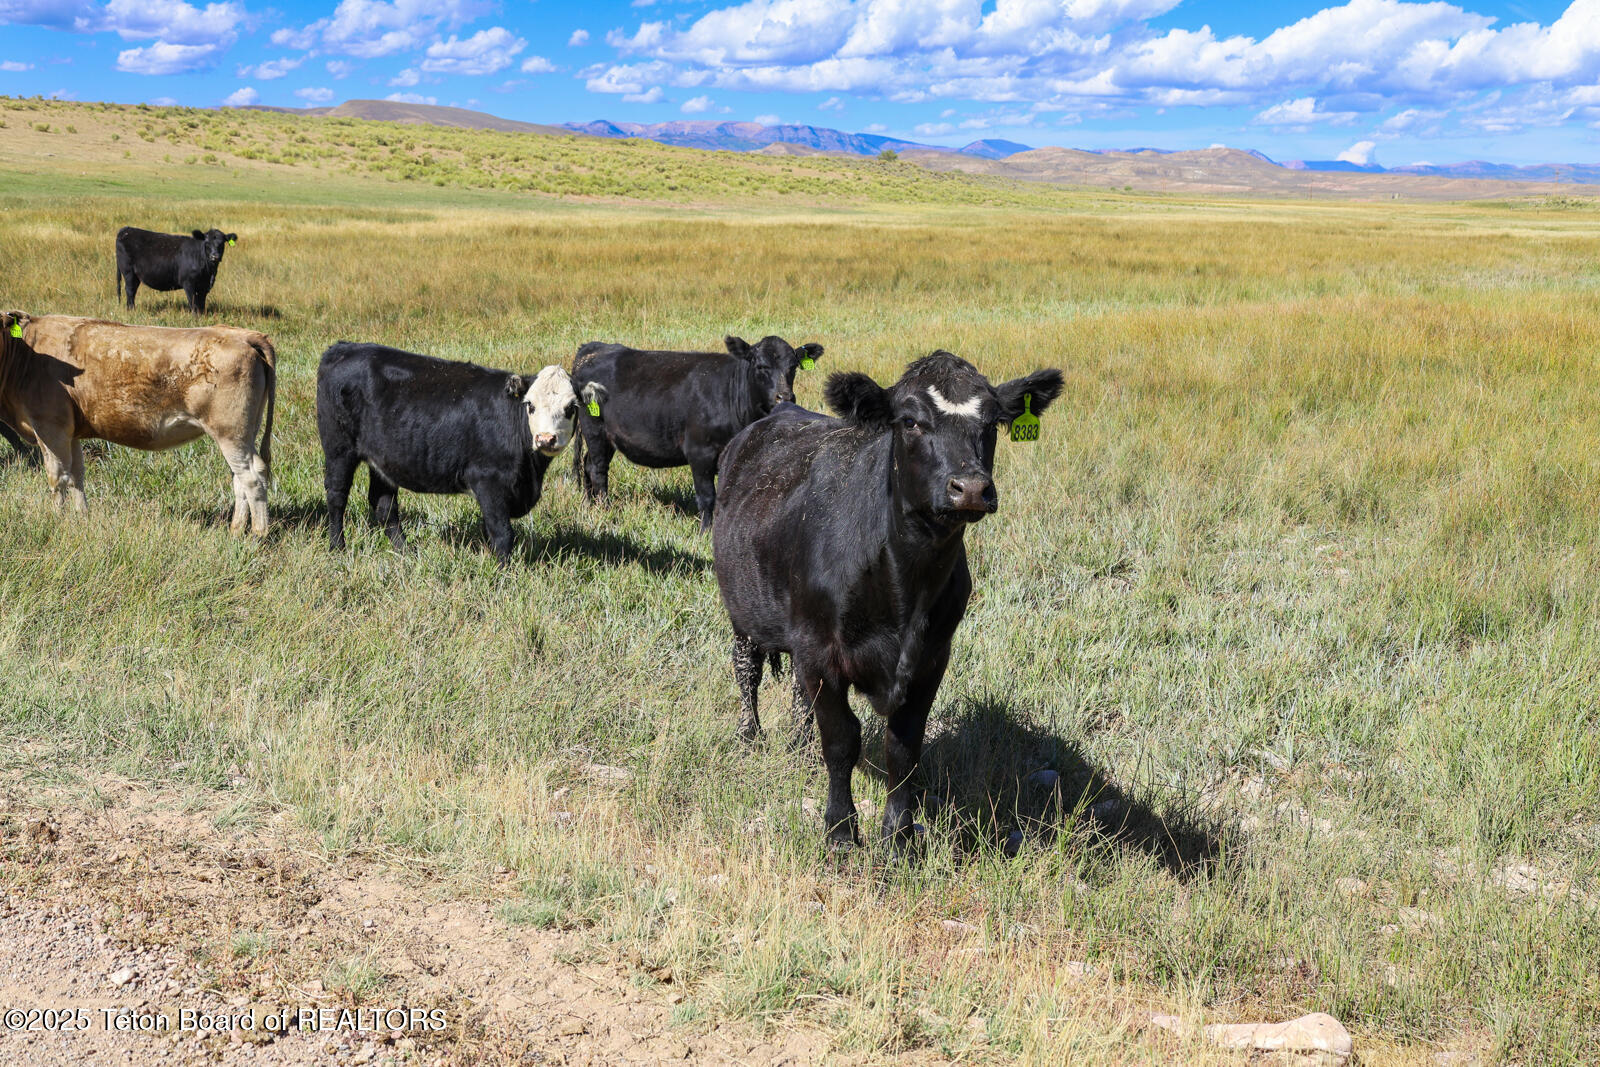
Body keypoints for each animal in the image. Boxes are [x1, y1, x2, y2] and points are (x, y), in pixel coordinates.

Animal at [0, 311, 276, 535]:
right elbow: (77, 475)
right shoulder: (72, 432)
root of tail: (242, 335)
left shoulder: (49, 427)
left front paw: (57, 521)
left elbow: (57, 477)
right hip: (243, 433)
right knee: (239, 478)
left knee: (252, 477)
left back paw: (257, 534)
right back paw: (236, 530)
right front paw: (82, 518)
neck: (26, 355)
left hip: (230, 433)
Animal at [316, 342, 599, 562]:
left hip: (383, 460)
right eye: (530, 405)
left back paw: (405, 552)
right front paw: (504, 573)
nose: (545, 438)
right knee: (337, 496)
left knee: (384, 505)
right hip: (339, 449)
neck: (531, 473)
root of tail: (343, 348)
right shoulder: (488, 481)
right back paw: (337, 548)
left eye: (571, 407)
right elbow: (502, 533)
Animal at [568, 335, 823, 530]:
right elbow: (707, 496)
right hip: (595, 429)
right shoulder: (700, 452)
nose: (785, 397)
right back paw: (605, 509)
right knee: (598, 469)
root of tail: (593, 348)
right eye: (761, 367)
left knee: (588, 465)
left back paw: (590, 505)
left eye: (793, 367)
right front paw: (705, 531)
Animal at [712, 351, 1062, 851]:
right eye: (910, 421)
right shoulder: (821, 650)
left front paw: (898, 837)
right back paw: (750, 736)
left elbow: (904, 747)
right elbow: (842, 740)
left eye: (993, 422)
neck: (904, 589)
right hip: (744, 609)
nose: (971, 487)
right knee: (747, 668)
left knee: (797, 694)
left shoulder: (931, 658)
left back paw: (799, 748)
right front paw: (840, 831)